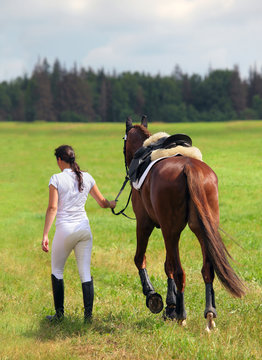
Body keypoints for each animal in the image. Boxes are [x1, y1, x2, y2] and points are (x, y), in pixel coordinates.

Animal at [124, 116, 245, 330]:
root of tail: (189, 168)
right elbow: (167, 265)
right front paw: (169, 307)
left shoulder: (145, 223)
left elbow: (142, 259)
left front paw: (155, 298)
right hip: (202, 228)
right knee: (207, 269)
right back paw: (209, 314)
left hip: (171, 230)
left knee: (179, 271)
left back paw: (182, 315)